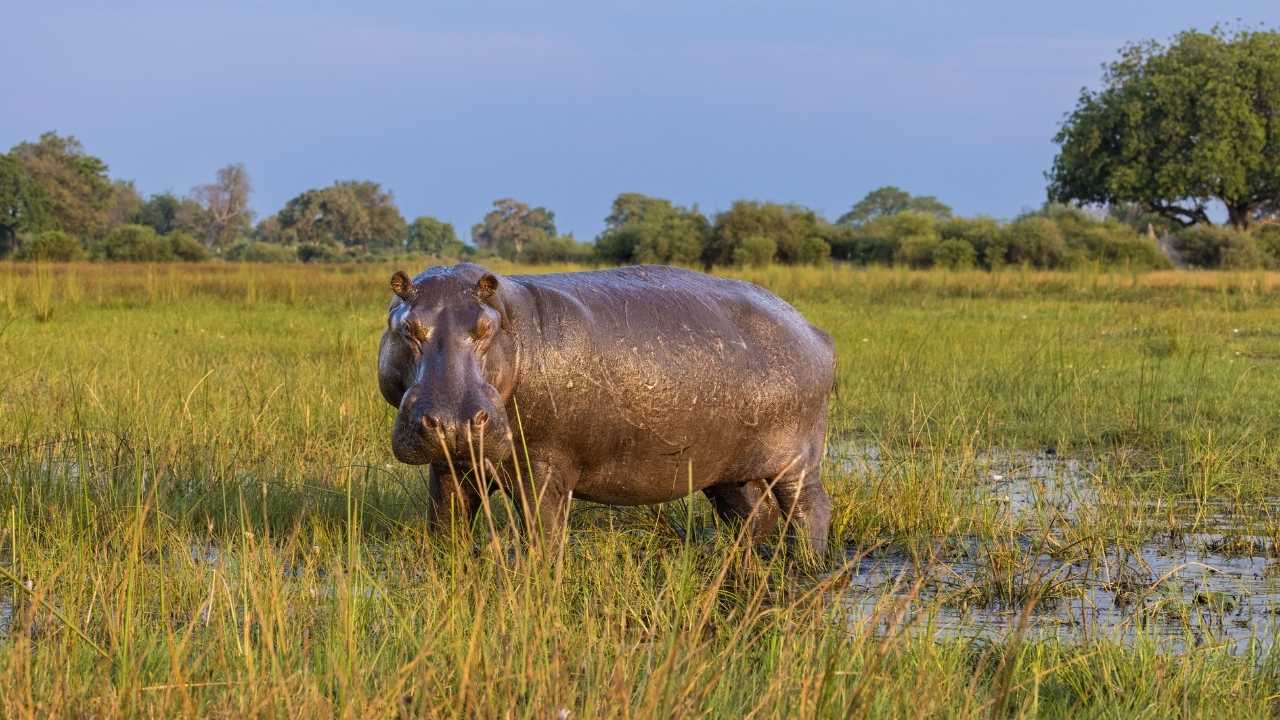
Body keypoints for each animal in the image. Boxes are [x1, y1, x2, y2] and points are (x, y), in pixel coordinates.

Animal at [377, 263, 836, 554]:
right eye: (406, 327)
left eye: (484, 328)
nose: (452, 422)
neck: (511, 320)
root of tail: (813, 329)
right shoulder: (451, 465)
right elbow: (446, 525)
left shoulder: (544, 466)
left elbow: (543, 536)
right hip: (725, 466)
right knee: (752, 514)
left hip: (796, 459)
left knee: (809, 510)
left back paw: (808, 566)